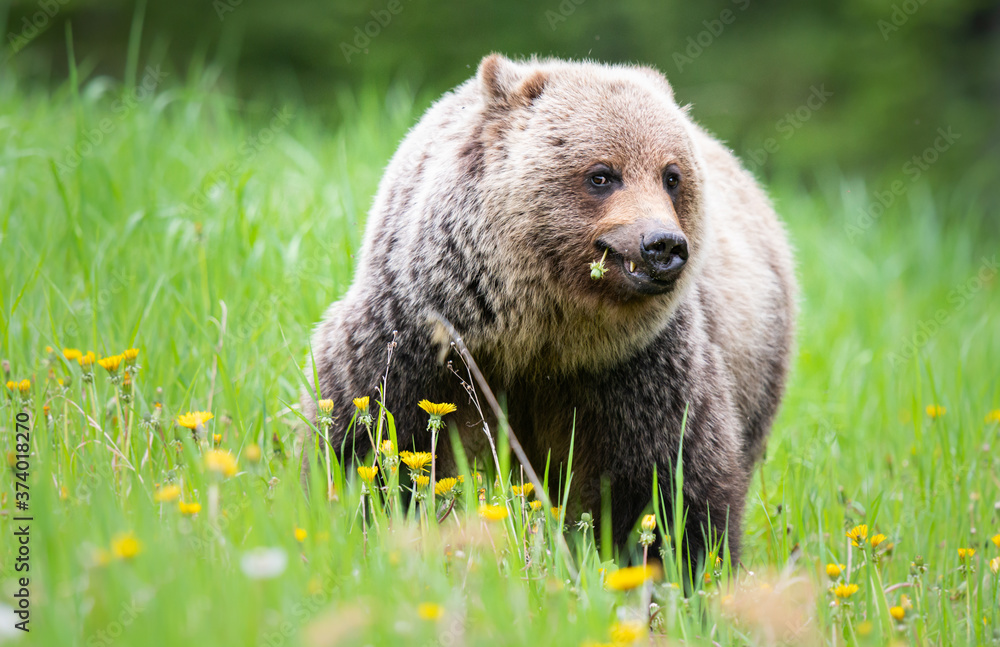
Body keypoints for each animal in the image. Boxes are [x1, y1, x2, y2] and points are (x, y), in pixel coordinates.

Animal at [302, 54, 796, 566]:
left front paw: (679, 565)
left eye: (672, 176)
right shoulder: (416, 338)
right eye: (602, 174)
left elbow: (671, 480)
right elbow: (375, 439)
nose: (663, 244)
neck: (535, 331)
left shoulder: (634, 368)